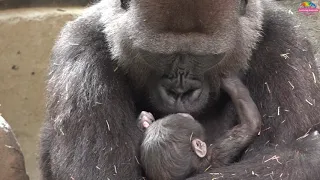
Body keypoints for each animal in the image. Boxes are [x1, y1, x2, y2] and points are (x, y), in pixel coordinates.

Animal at [39, 0, 320, 179]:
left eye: (205, 58)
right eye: (157, 56)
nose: (180, 93)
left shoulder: (286, 41)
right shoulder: (80, 49)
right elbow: (105, 175)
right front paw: (309, 154)